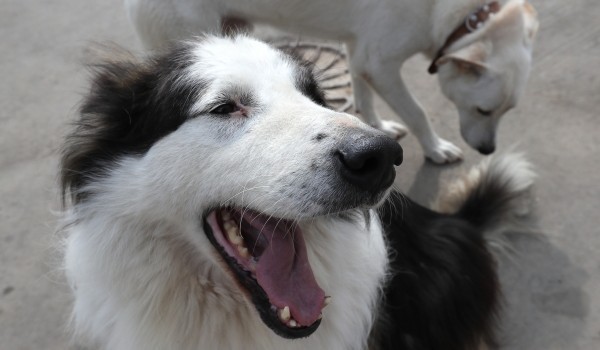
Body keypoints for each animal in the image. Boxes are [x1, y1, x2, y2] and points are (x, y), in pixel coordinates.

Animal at [125, 0, 540, 163]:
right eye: (483, 110)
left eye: (507, 111)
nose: (487, 151)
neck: (463, 15)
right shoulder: (381, 62)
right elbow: (418, 112)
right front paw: (436, 149)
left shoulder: (360, 53)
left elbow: (361, 91)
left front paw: (375, 124)